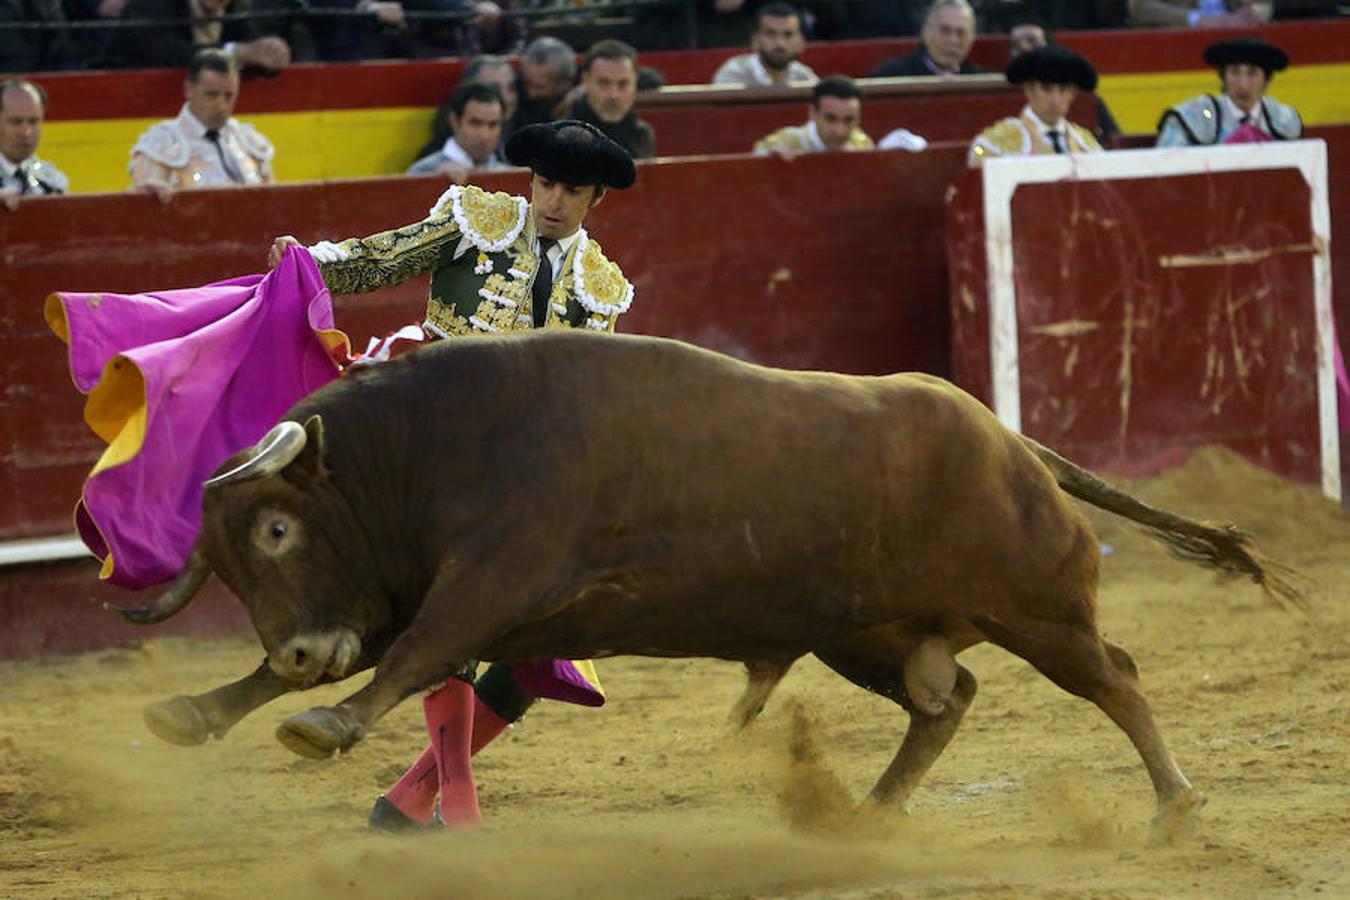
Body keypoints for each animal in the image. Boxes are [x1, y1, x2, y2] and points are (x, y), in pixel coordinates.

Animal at [118, 329, 1296, 825]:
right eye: (225, 565)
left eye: (278, 528)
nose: (298, 646)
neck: (422, 450)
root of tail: (1016, 444)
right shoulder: (405, 593)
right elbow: (342, 664)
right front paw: (197, 709)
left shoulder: (493, 578)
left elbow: (411, 655)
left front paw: (323, 726)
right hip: (865, 633)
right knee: (946, 699)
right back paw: (871, 809)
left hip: (1036, 607)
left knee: (1115, 677)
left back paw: (1178, 802)